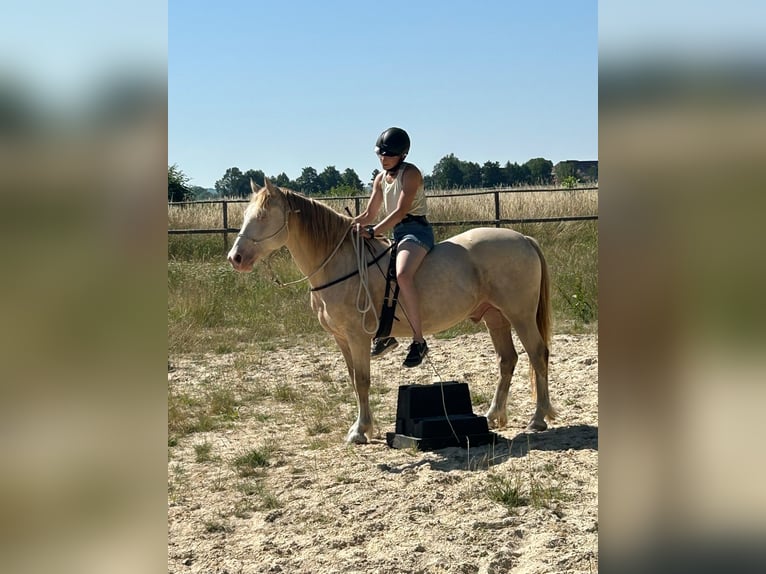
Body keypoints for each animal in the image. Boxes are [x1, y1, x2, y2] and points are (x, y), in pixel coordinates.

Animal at [227, 179, 556, 444]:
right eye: (245, 216)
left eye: (263, 216)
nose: (236, 258)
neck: (341, 263)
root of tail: (523, 239)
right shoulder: (341, 339)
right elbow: (354, 379)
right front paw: (366, 426)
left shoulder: (357, 336)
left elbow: (362, 379)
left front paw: (359, 431)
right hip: (495, 317)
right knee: (507, 360)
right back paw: (492, 415)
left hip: (520, 315)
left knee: (537, 354)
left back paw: (538, 418)